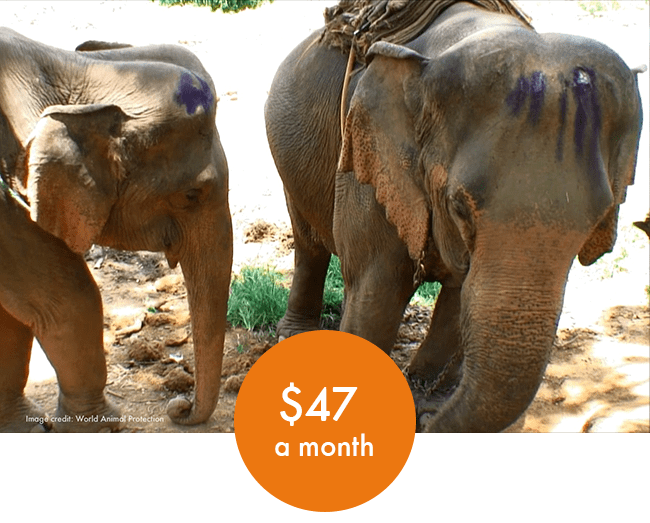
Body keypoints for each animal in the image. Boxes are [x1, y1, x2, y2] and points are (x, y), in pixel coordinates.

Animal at [264, 2, 644, 432]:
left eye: (598, 219)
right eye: (459, 206)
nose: (428, 423)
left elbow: (459, 296)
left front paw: (424, 400)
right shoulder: (367, 164)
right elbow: (377, 290)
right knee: (310, 244)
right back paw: (294, 335)